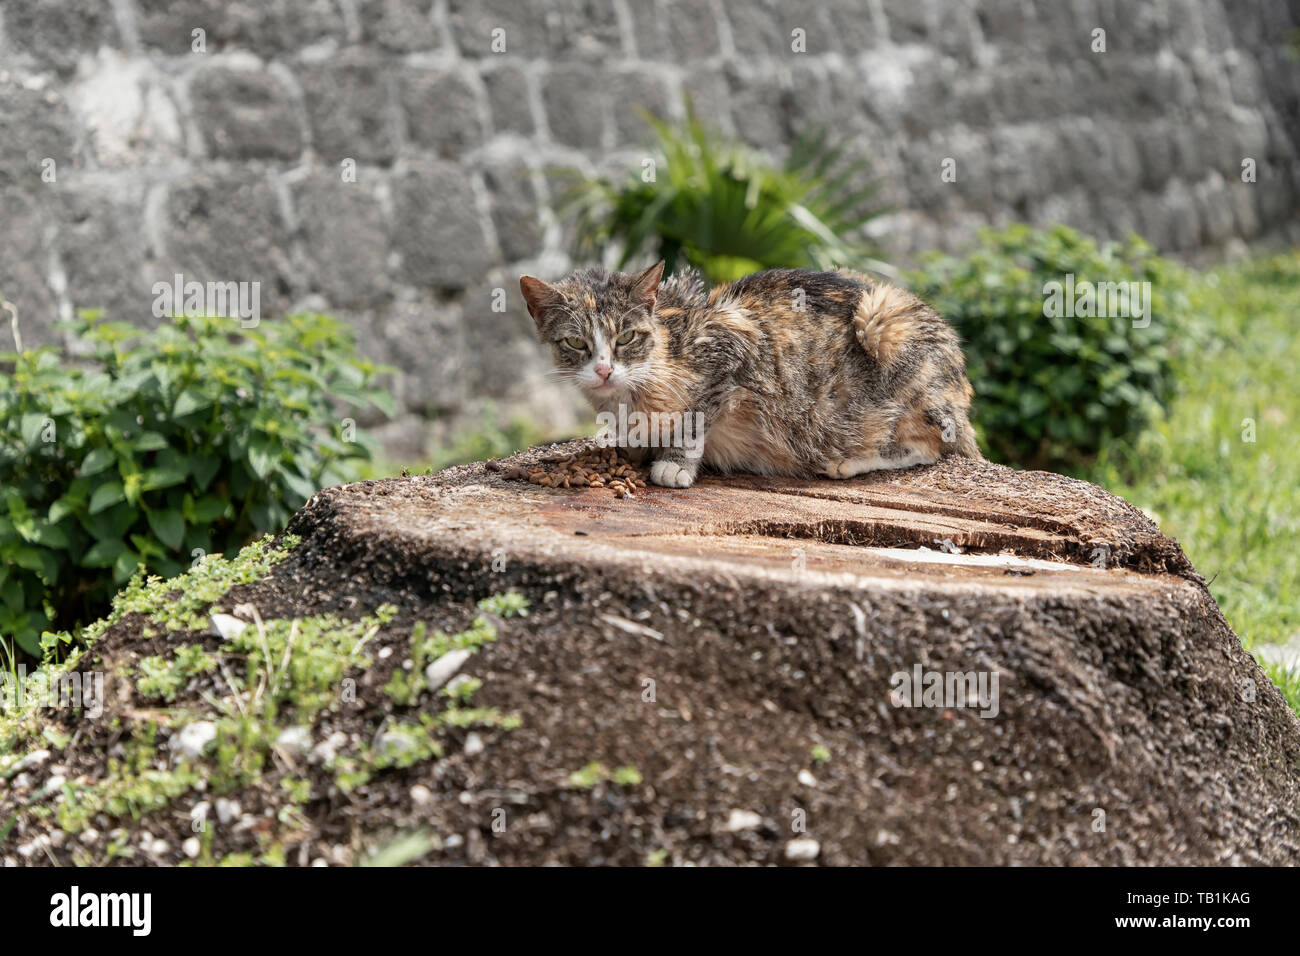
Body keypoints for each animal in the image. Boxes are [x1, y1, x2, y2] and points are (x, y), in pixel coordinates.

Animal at [514, 260, 977, 489]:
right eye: (576, 343)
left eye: (626, 336)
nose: (605, 369)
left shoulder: (735, 345)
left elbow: (694, 418)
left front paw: (674, 464)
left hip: (885, 320)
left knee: (933, 446)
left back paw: (848, 461)